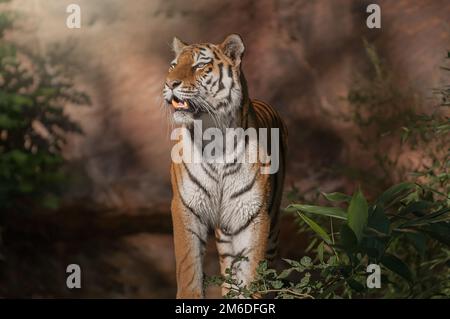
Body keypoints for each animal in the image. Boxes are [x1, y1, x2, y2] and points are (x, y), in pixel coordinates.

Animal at [163, 33, 288, 298]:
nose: (170, 84)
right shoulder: (185, 206)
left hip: (271, 225)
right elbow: (188, 267)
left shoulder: (253, 214)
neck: (214, 140)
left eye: (199, 66)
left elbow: (252, 274)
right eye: (173, 65)